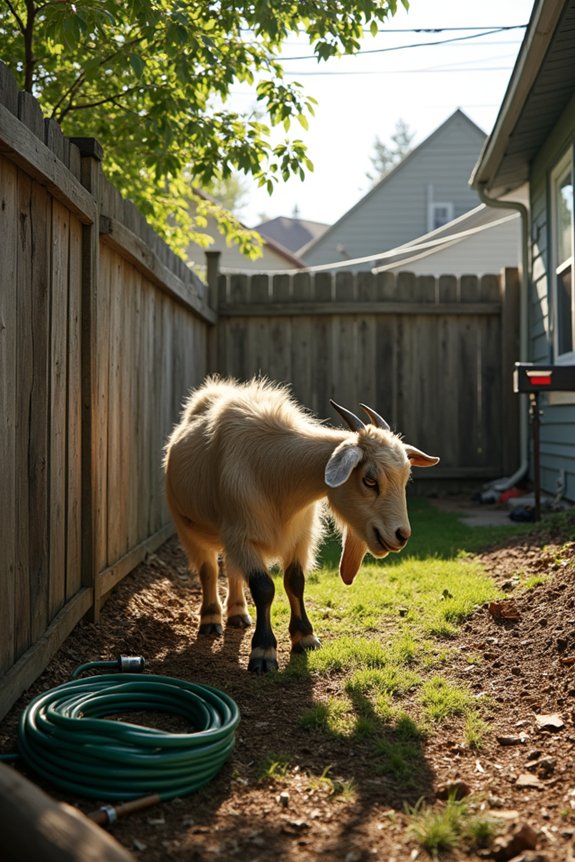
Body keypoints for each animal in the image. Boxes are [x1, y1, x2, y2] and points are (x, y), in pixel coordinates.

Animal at [164, 376, 439, 673]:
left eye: (405, 477)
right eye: (369, 480)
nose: (402, 535)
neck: (275, 474)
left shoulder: (299, 538)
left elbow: (295, 582)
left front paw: (305, 637)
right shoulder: (242, 536)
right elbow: (263, 588)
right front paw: (263, 651)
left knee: (233, 570)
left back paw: (237, 612)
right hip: (187, 527)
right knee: (209, 571)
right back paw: (211, 619)